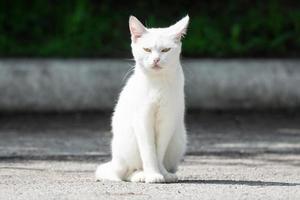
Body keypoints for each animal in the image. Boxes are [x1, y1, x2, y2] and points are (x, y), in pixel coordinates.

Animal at [95, 14, 190, 183]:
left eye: (165, 50)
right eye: (147, 49)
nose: (156, 59)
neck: (157, 83)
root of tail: (114, 162)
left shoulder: (168, 120)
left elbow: (159, 151)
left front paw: (162, 173)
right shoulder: (142, 119)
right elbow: (149, 151)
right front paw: (152, 174)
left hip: (179, 140)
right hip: (128, 144)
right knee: (125, 173)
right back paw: (140, 175)